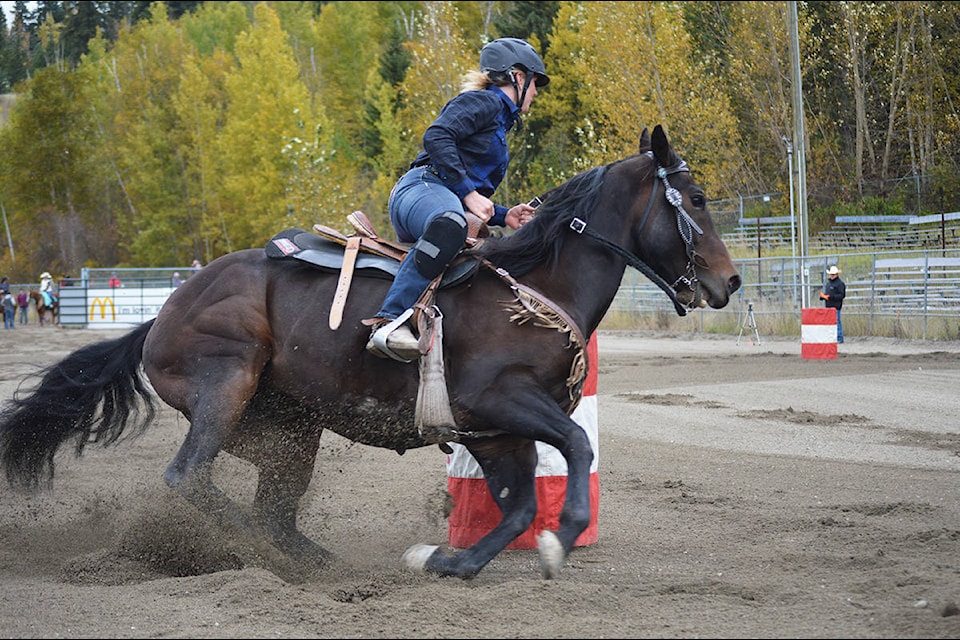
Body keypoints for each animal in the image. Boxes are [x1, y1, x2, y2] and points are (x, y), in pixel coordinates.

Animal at [0, 124, 744, 580]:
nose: (730, 281)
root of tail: (161, 315)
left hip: (285, 430)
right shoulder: (502, 401)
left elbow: (518, 506)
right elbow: (578, 449)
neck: (533, 285)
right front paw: (563, 538)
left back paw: (312, 561)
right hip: (225, 386)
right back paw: (248, 547)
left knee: (272, 509)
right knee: (188, 478)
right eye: (696, 197)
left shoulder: (494, 432)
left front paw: (448, 562)